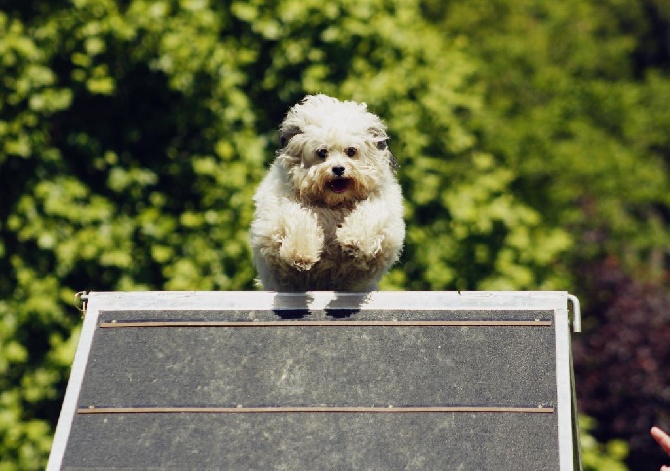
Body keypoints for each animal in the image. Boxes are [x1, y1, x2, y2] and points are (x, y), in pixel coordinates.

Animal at [251, 94, 404, 294]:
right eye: (322, 152)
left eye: (351, 151)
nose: (338, 169)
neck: (333, 204)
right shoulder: (274, 224)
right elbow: (298, 216)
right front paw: (301, 254)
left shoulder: (385, 229)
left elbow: (369, 212)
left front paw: (354, 240)